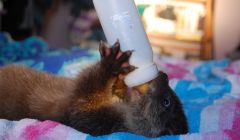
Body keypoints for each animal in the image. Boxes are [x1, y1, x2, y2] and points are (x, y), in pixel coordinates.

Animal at [0, 41, 188, 137]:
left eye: (166, 102)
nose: (164, 75)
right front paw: (120, 79)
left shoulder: (90, 121)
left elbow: (85, 94)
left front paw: (110, 65)